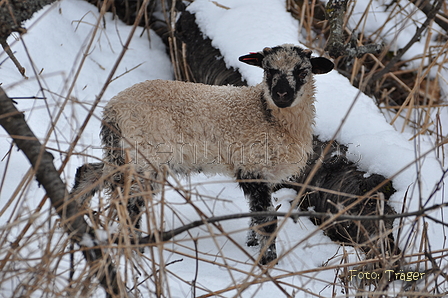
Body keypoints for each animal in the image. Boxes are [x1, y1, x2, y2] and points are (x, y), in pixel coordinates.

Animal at [71, 43, 332, 264]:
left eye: (302, 72)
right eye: (268, 70)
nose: (281, 95)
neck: (266, 114)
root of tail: (111, 110)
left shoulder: (262, 174)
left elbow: (255, 215)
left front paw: (251, 246)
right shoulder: (252, 167)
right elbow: (267, 221)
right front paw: (268, 262)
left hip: (120, 154)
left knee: (89, 173)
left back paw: (72, 214)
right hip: (144, 155)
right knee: (131, 202)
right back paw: (136, 251)